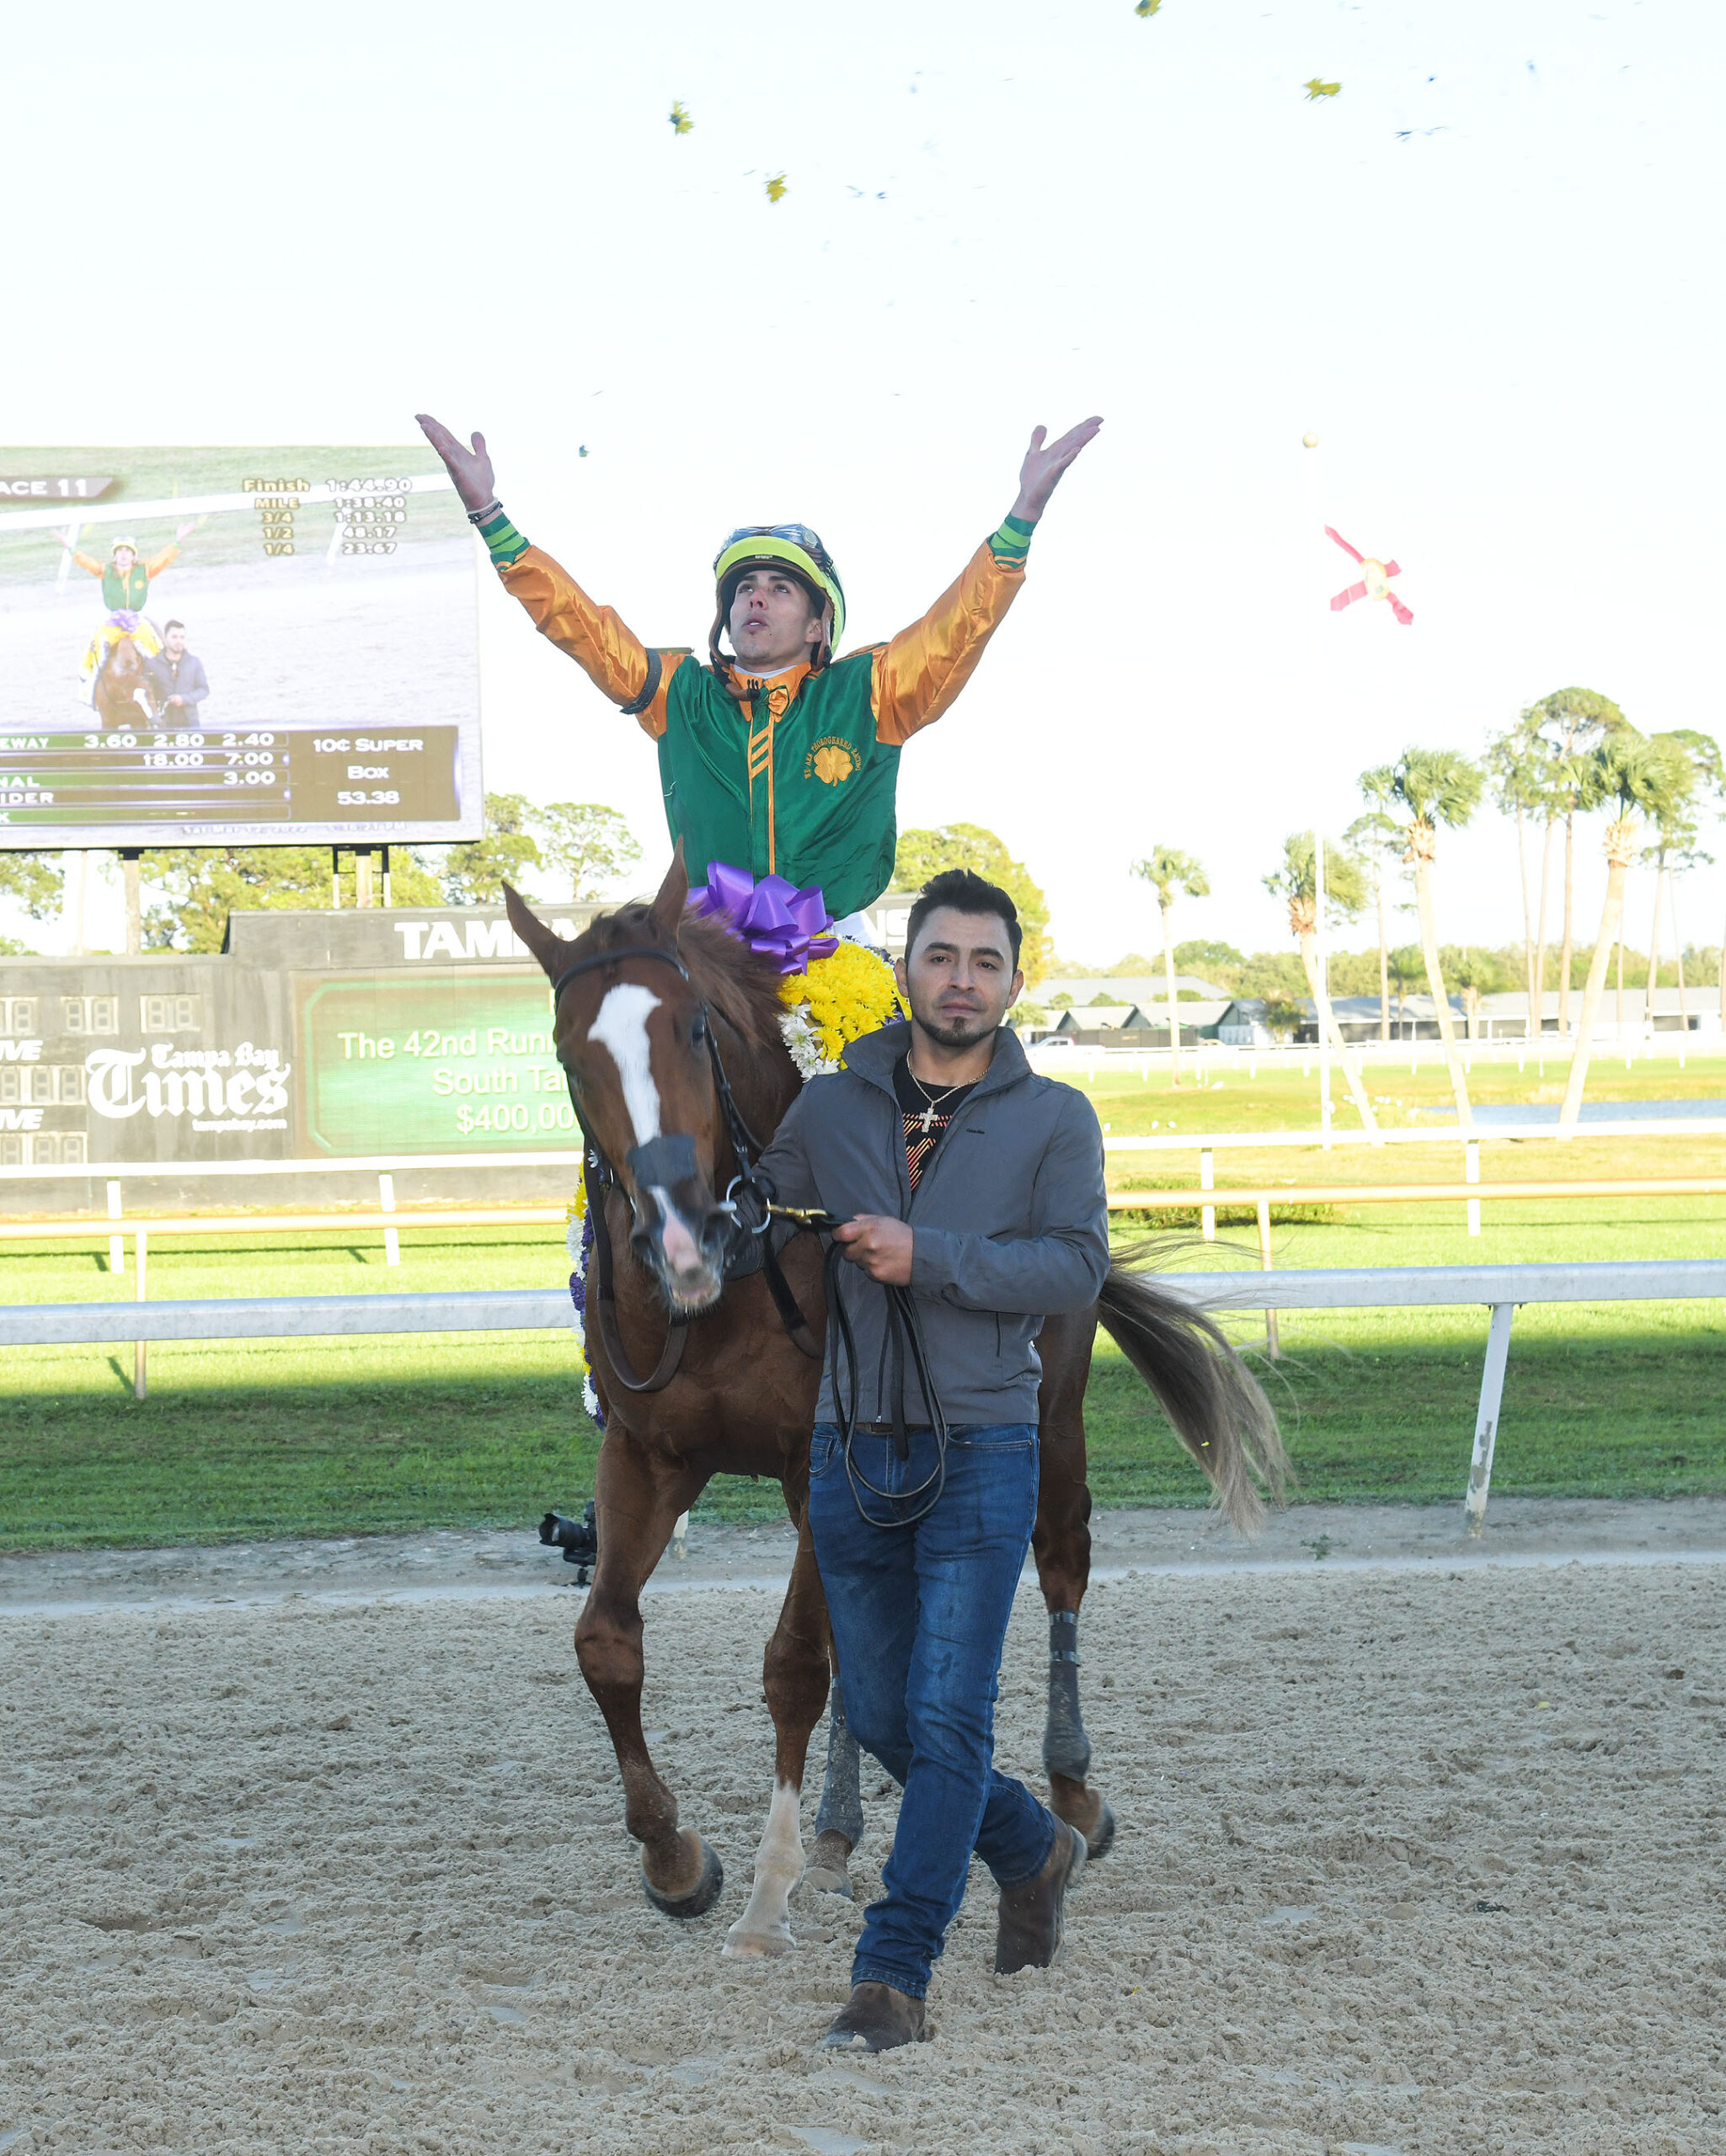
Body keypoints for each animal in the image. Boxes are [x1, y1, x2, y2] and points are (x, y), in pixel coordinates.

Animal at [498, 853, 1277, 1957]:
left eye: (693, 1028)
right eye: (571, 1056)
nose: (684, 1233)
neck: (737, 1285)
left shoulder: (816, 1464)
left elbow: (795, 1664)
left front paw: (768, 1892)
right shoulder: (648, 1455)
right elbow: (607, 1642)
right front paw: (675, 1857)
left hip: (1051, 1417)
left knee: (1061, 1565)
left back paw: (1072, 1794)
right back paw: (839, 1833)